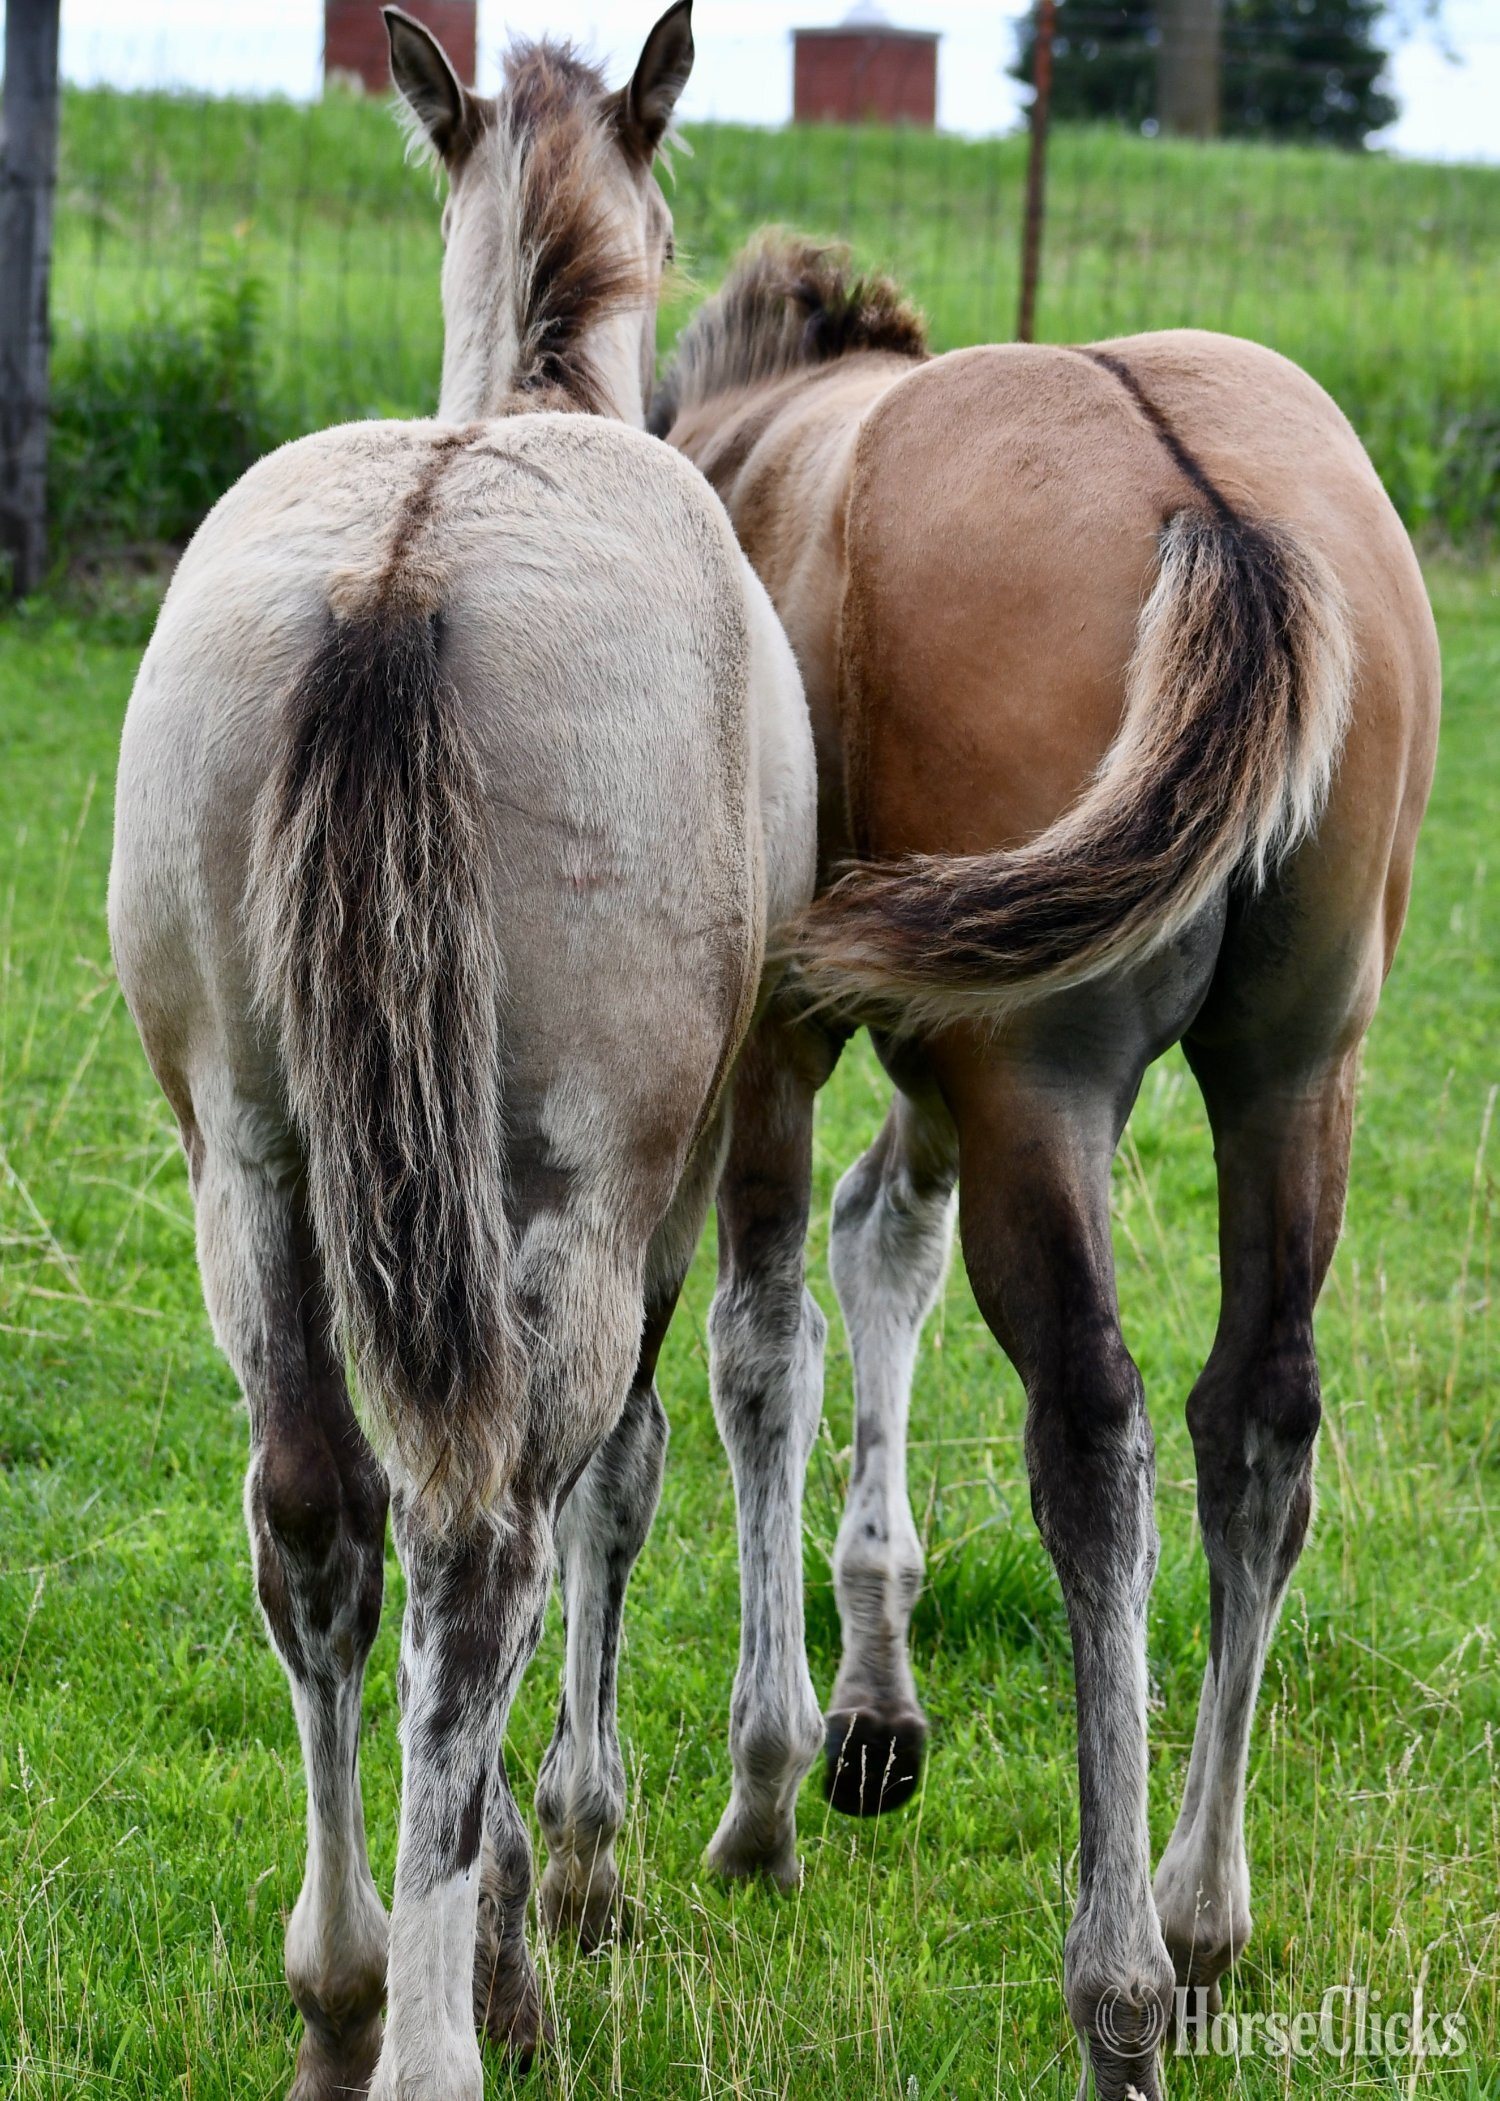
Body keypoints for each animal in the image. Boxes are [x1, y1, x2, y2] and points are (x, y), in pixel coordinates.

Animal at [108, 15, 817, 2099]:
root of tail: (399, 584)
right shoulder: (660, 1191)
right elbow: (621, 1485)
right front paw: (561, 1873)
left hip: (252, 1173)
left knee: (323, 1526)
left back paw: (349, 1986)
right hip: (574, 1197)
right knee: (486, 1530)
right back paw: (451, 2009)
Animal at [650, 231, 1439, 2099]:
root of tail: (1217, 519)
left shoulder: (788, 1035)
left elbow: (764, 1344)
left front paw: (768, 1792)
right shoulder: (935, 1061)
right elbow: (881, 1250)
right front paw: (872, 1708)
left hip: (1042, 1082)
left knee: (1092, 1432)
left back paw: (1118, 1987)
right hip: (1290, 1072)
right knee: (1259, 1419)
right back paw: (1201, 1924)